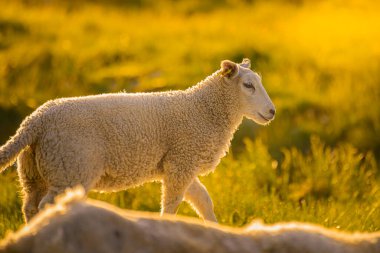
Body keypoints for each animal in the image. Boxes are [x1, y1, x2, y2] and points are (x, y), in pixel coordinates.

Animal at [0, 58, 274, 221]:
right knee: (47, 206)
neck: (203, 109)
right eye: (248, 85)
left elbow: (204, 201)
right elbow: (171, 206)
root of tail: (36, 120)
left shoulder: (181, 163)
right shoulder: (182, 162)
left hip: (35, 171)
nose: (272, 112)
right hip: (70, 168)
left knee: (30, 206)